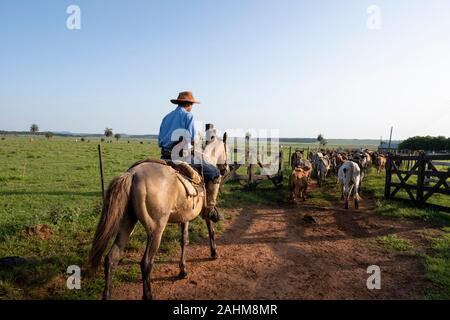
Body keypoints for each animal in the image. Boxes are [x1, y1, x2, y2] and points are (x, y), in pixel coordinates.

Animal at [87, 132, 229, 300]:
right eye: (227, 149)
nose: (226, 169)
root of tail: (133, 173)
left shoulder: (184, 217)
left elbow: (184, 240)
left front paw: (183, 270)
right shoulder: (203, 211)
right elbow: (210, 230)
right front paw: (214, 253)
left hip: (126, 224)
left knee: (111, 258)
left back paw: (107, 294)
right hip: (156, 231)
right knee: (146, 263)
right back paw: (148, 295)